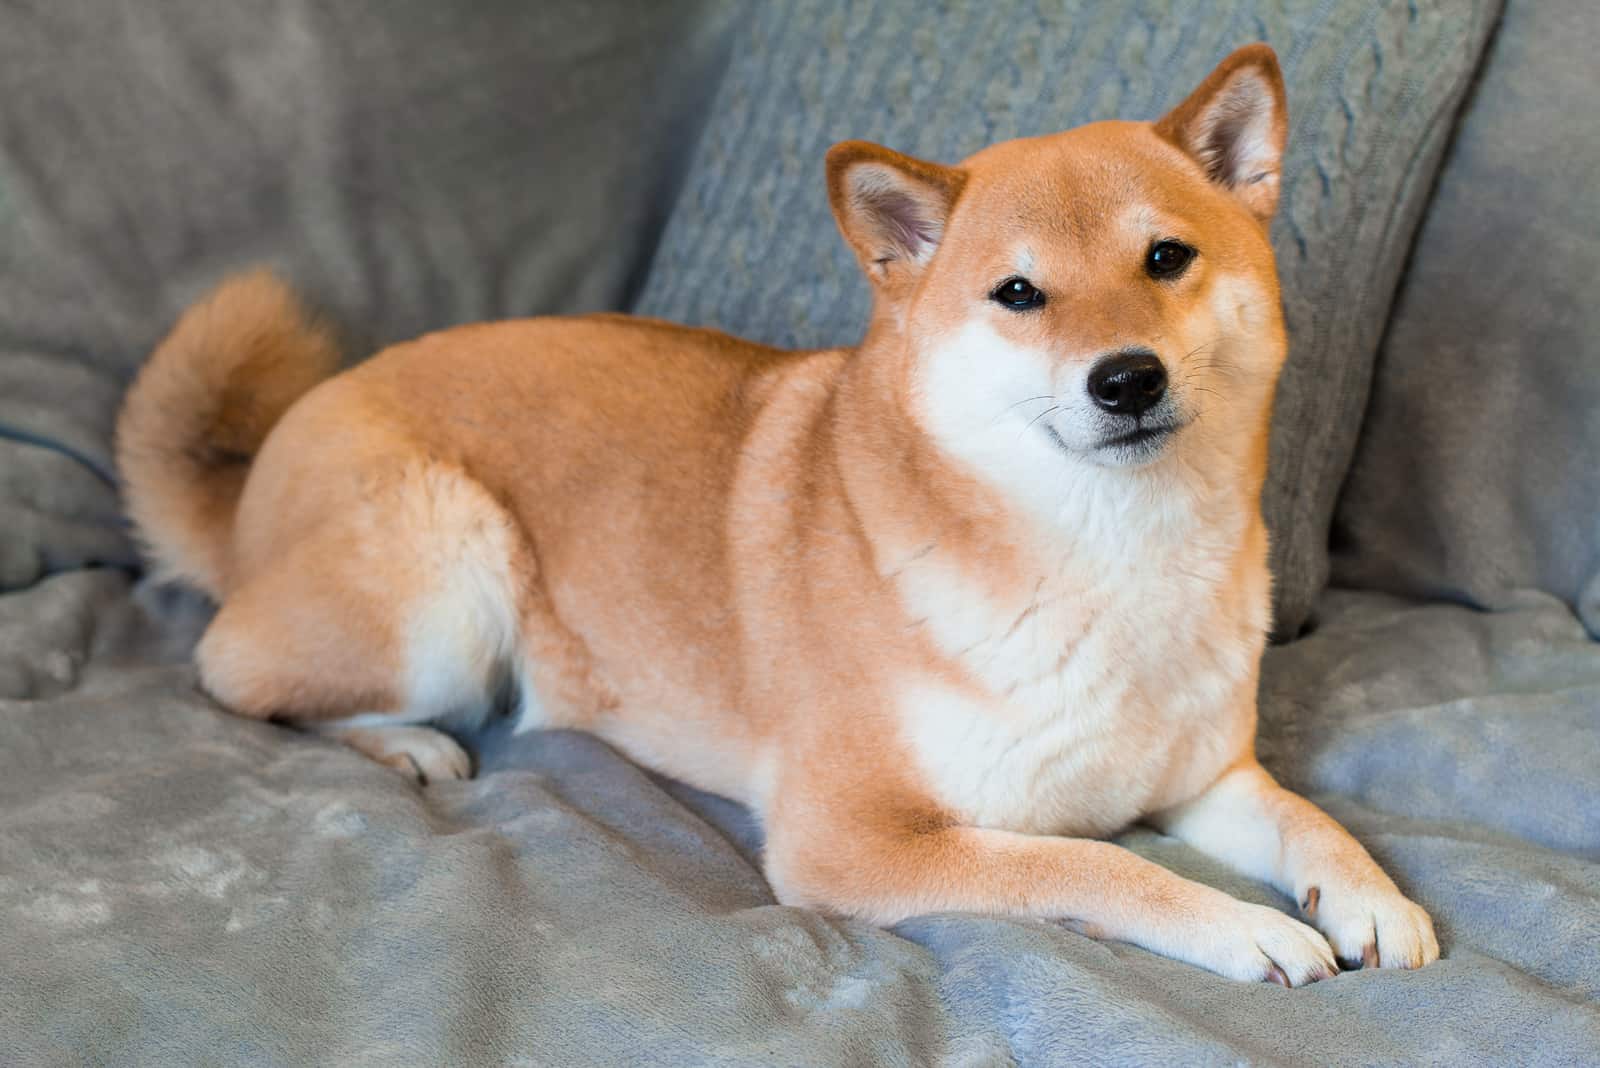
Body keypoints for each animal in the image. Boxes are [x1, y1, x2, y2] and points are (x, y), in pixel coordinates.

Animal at [116, 45, 1440, 991]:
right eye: (1017, 293)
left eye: (1166, 259)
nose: (1126, 379)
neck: (1110, 558)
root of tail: (274, 452)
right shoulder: (855, 838)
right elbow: (1090, 859)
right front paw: (1234, 926)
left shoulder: (1207, 776)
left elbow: (1307, 822)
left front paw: (1368, 893)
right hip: (449, 579)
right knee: (236, 674)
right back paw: (403, 745)